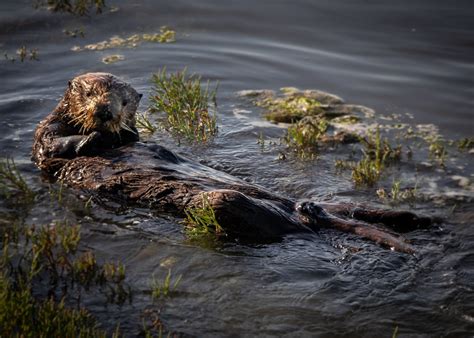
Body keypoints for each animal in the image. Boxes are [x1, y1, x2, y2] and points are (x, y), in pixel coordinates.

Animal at [31, 73, 432, 254]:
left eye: (125, 101)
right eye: (89, 93)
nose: (106, 110)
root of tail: (306, 214)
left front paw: (124, 135)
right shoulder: (47, 137)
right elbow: (51, 147)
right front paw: (105, 137)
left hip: (323, 206)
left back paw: (420, 220)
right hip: (229, 204)